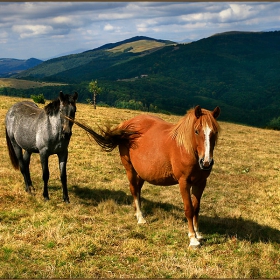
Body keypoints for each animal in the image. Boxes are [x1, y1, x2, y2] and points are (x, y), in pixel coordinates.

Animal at [69, 105, 220, 247]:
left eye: (215, 132)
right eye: (196, 131)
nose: (206, 162)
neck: (185, 148)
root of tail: (126, 125)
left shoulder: (201, 183)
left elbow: (196, 208)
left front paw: (198, 233)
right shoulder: (184, 182)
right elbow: (189, 209)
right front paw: (193, 239)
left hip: (141, 173)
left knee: (138, 190)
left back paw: (137, 213)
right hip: (130, 169)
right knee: (133, 190)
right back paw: (141, 218)